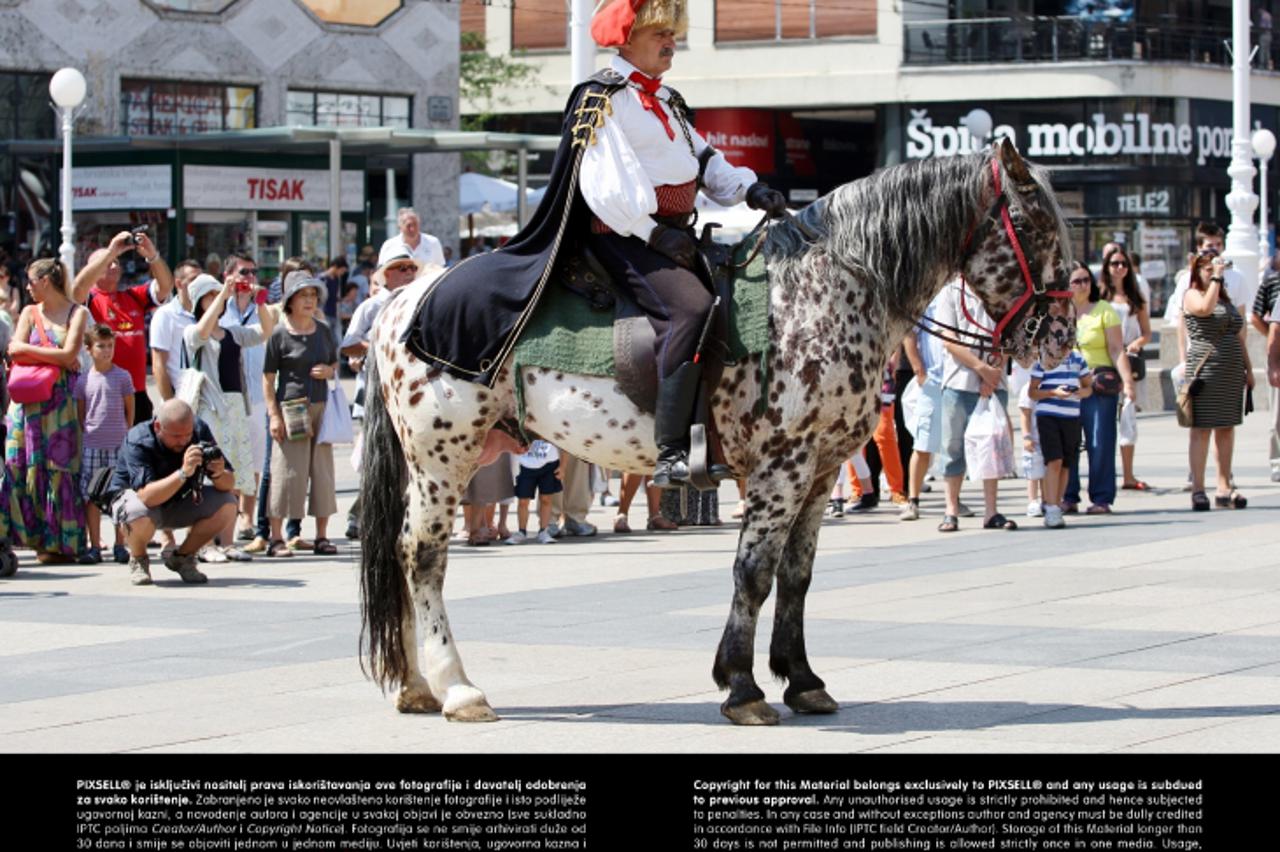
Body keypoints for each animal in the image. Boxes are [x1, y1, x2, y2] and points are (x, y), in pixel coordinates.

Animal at [360, 139, 1080, 721]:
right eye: (1032, 223)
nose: (1060, 336)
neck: (823, 293)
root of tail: (402, 301)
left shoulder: (819, 471)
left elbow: (797, 576)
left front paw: (802, 680)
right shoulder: (780, 468)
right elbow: (754, 573)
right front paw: (742, 686)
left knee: (403, 554)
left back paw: (415, 687)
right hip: (443, 456)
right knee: (422, 555)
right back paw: (457, 688)